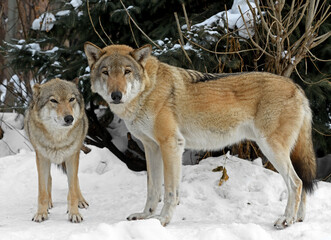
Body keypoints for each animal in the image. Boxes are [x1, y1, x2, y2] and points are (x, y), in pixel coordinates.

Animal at [24, 79, 89, 223]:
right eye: (53, 100)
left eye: (71, 99)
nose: (69, 118)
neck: (57, 140)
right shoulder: (41, 158)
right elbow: (42, 191)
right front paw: (41, 213)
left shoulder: (72, 157)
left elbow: (72, 189)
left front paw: (74, 213)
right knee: (49, 178)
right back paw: (49, 203)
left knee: (75, 180)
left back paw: (81, 201)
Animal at [84, 42, 318, 229]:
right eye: (106, 72)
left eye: (126, 71)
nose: (116, 95)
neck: (147, 90)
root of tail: (298, 88)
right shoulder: (151, 148)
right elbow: (152, 189)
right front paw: (145, 216)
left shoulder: (172, 145)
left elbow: (170, 191)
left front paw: (162, 220)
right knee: (302, 183)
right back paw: (298, 219)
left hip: (271, 149)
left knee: (296, 183)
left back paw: (286, 220)